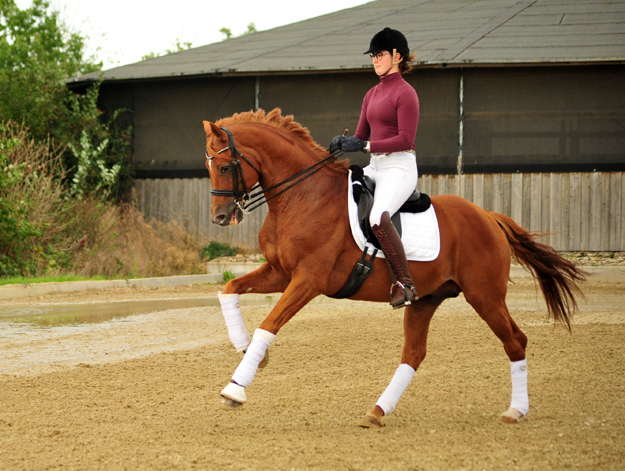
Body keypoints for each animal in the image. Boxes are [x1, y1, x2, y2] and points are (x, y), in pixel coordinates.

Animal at [204, 109, 584, 430]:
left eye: (223, 167)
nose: (220, 217)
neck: (302, 196)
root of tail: (488, 216)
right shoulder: (279, 273)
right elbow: (228, 291)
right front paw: (246, 349)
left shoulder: (307, 281)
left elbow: (268, 325)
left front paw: (235, 388)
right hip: (427, 299)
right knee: (414, 354)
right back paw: (376, 412)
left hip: (485, 296)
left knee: (515, 340)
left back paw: (515, 410)